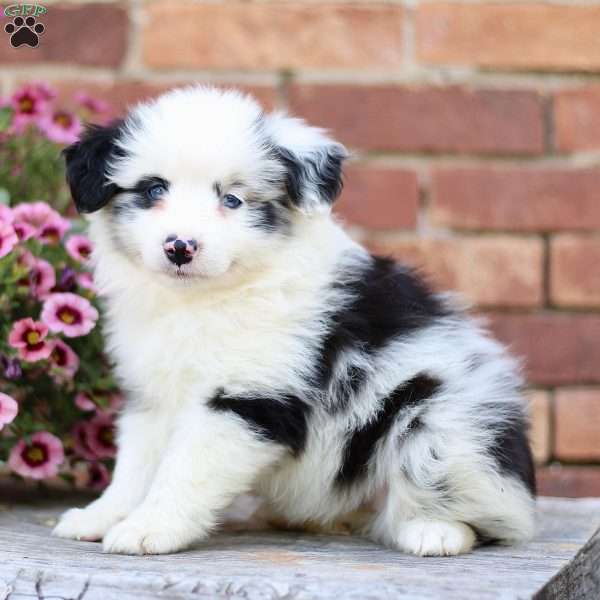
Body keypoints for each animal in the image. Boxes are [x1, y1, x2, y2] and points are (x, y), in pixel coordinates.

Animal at [52, 86, 536, 556]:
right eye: (154, 190)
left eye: (232, 199)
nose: (180, 246)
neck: (203, 301)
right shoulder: (154, 394)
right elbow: (135, 466)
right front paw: (100, 517)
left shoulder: (244, 399)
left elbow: (184, 470)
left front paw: (150, 528)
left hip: (440, 419)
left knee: (487, 513)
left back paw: (433, 530)